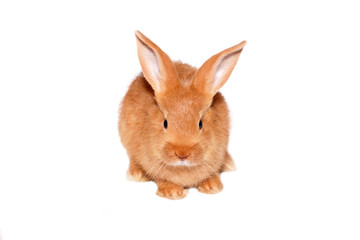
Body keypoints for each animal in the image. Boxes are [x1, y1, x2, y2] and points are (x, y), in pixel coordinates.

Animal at [119, 31, 246, 200]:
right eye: (165, 123)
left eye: (200, 124)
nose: (182, 154)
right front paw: (173, 192)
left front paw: (212, 187)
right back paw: (136, 174)